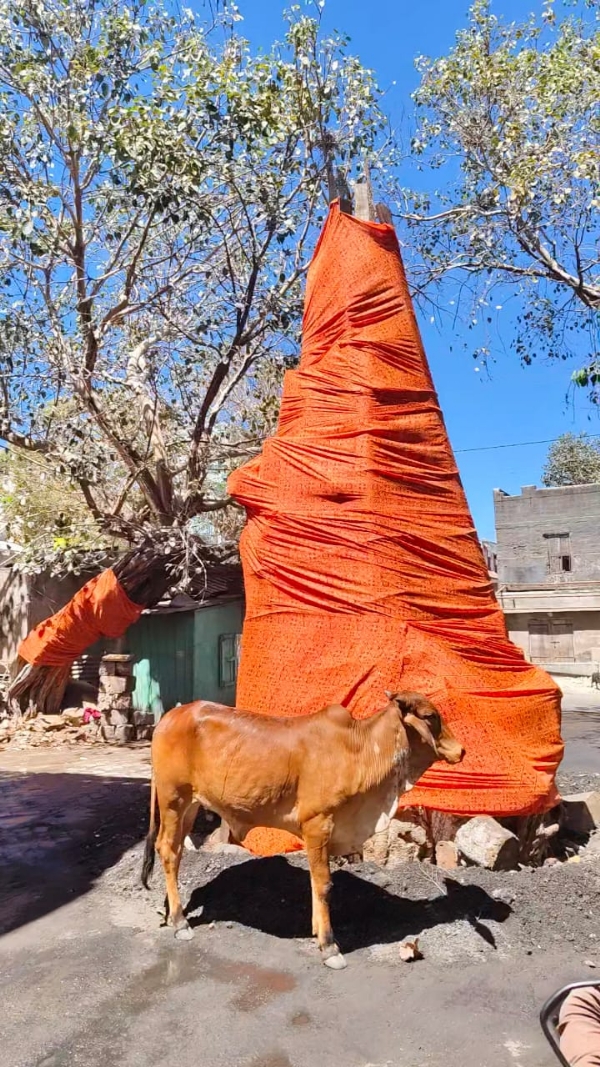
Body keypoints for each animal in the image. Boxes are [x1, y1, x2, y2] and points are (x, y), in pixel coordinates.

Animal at [140, 691, 463, 968]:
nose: (461, 750)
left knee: (175, 850)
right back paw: (180, 921)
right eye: (430, 716)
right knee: (167, 850)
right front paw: (329, 946)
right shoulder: (318, 823)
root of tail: (169, 717)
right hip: (173, 798)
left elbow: (315, 882)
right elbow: (323, 884)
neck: (360, 749)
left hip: (190, 806)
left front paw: (317, 932)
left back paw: (172, 912)